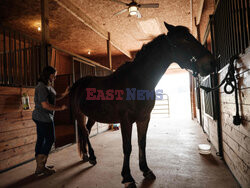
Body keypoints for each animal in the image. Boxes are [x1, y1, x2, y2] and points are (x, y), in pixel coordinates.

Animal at [69, 22, 216, 188]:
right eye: (184, 39)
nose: (211, 62)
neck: (137, 81)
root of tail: (78, 83)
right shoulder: (126, 121)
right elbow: (127, 147)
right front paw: (127, 177)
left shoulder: (144, 118)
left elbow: (142, 143)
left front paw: (146, 170)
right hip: (79, 114)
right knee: (85, 132)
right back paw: (91, 157)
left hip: (92, 115)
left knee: (86, 131)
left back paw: (87, 155)